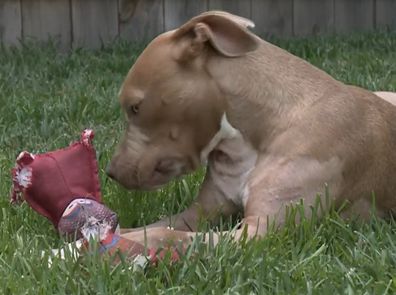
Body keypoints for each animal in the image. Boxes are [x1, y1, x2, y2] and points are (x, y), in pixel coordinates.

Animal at [106, 10, 396, 249]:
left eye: (134, 107)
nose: (110, 172)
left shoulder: (260, 231)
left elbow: (163, 235)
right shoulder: (200, 212)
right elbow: (150, 227)